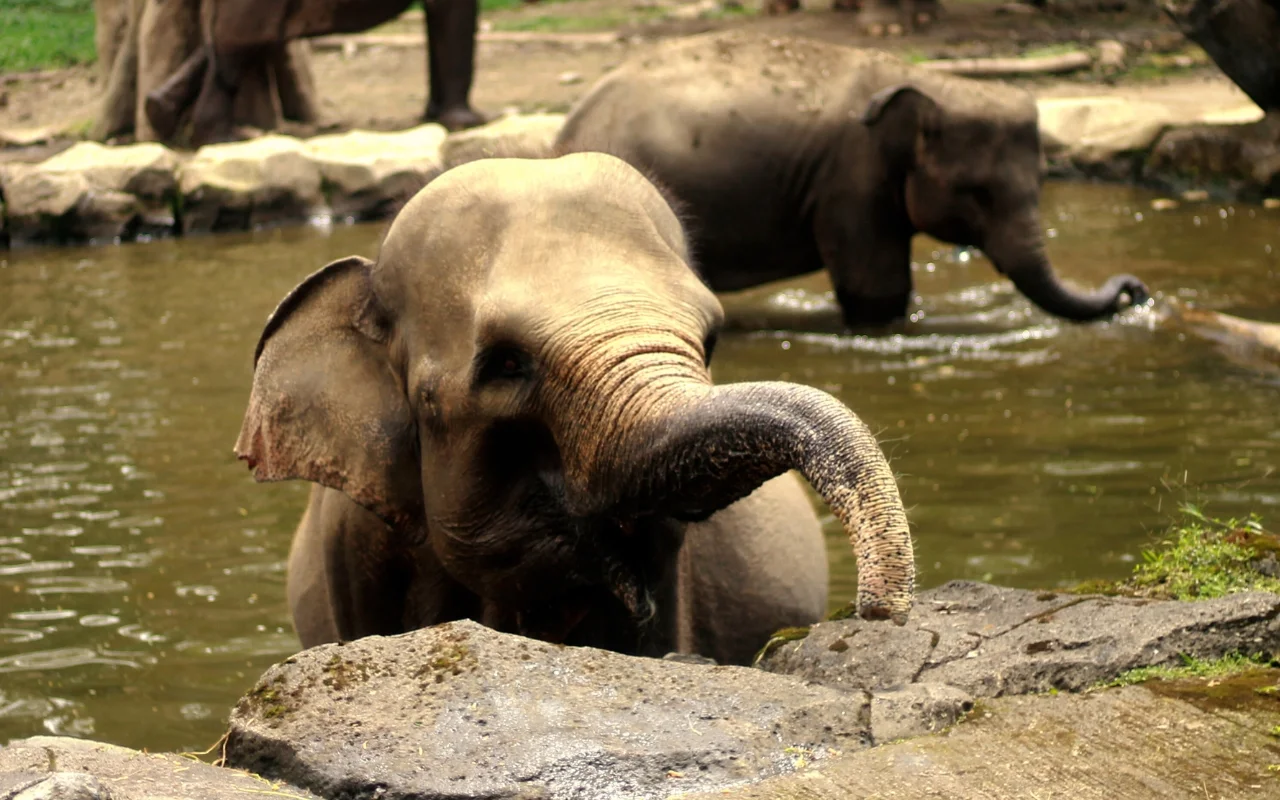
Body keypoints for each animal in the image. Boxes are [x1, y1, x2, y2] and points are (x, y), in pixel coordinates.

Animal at [146, 0, 484, 146]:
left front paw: (435, 115)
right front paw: (467, 123)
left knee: (235, 41)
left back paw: (159, 111)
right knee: (239, 42)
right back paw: (229, 138)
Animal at [555, 32, 1151, 329]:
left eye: (1043, 185)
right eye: (976, 193)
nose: (1135, 292)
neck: (930, 82)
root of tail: (569, 128)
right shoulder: (849, 182)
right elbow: (876, 290)